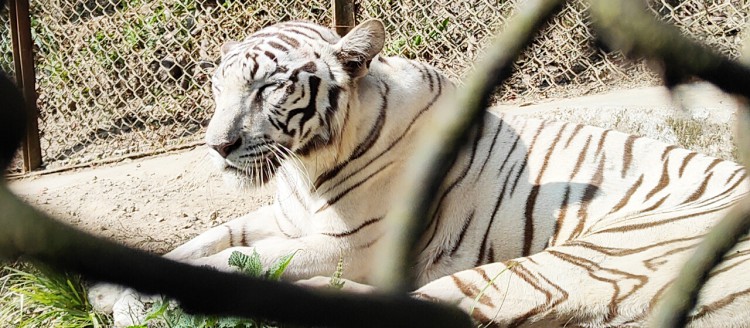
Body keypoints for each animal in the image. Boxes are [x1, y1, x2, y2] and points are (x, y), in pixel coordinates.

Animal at [92, 19, 750, 326]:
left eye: (269, 86)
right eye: (218, 85)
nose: (218, 145)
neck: (302, 168)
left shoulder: (349, 245)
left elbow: (232, 259)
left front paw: (139, 302)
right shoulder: (279, 214)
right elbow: (204, 240)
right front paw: (107, 288)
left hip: (583, 257)